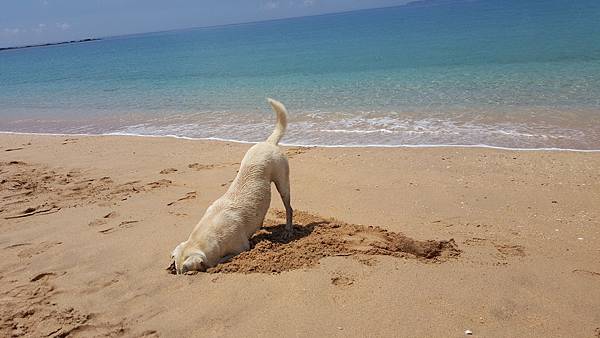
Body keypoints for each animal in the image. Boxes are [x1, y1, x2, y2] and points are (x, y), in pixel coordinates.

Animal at [171, 97, 292, 274]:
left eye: (187, 272)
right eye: (177, 271)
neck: (212, 230)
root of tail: (268, 143)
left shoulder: (241, 248)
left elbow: (224, 258)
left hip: (282, 183)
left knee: (289, 208)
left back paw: (288, 231)